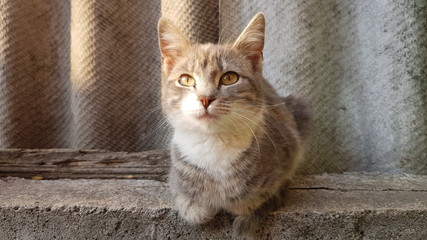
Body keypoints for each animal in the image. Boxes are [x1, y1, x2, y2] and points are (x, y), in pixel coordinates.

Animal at [157, 12, 310, 235]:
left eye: (229, 78)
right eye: (186, 80)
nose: (205, 98)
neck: (214, 145)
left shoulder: (286, 150)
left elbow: (262, 193)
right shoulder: (176, 173)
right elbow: (184, 195)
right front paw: (194, 206)